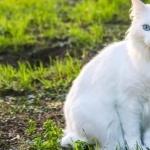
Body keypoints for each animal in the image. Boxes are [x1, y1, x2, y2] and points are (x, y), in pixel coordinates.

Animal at [61, 0, 150, 150]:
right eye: (146, 28)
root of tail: (71, 129)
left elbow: (148, 133)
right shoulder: (129, 103)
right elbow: (133, 133)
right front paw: (137, 147)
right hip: (108, 123)